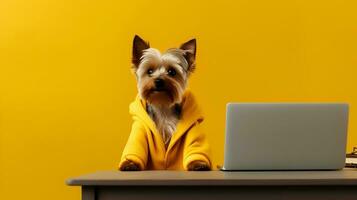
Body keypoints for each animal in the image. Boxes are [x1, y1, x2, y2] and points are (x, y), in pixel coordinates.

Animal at [119, 35, 211, 170]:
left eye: (172, 72)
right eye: (149, 71)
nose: (158, 80)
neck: (162, 105)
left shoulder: (192, 130)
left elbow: (195, 146)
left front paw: (198, 164)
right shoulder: (140, 130)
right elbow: (136, 147)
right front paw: (129, 164)